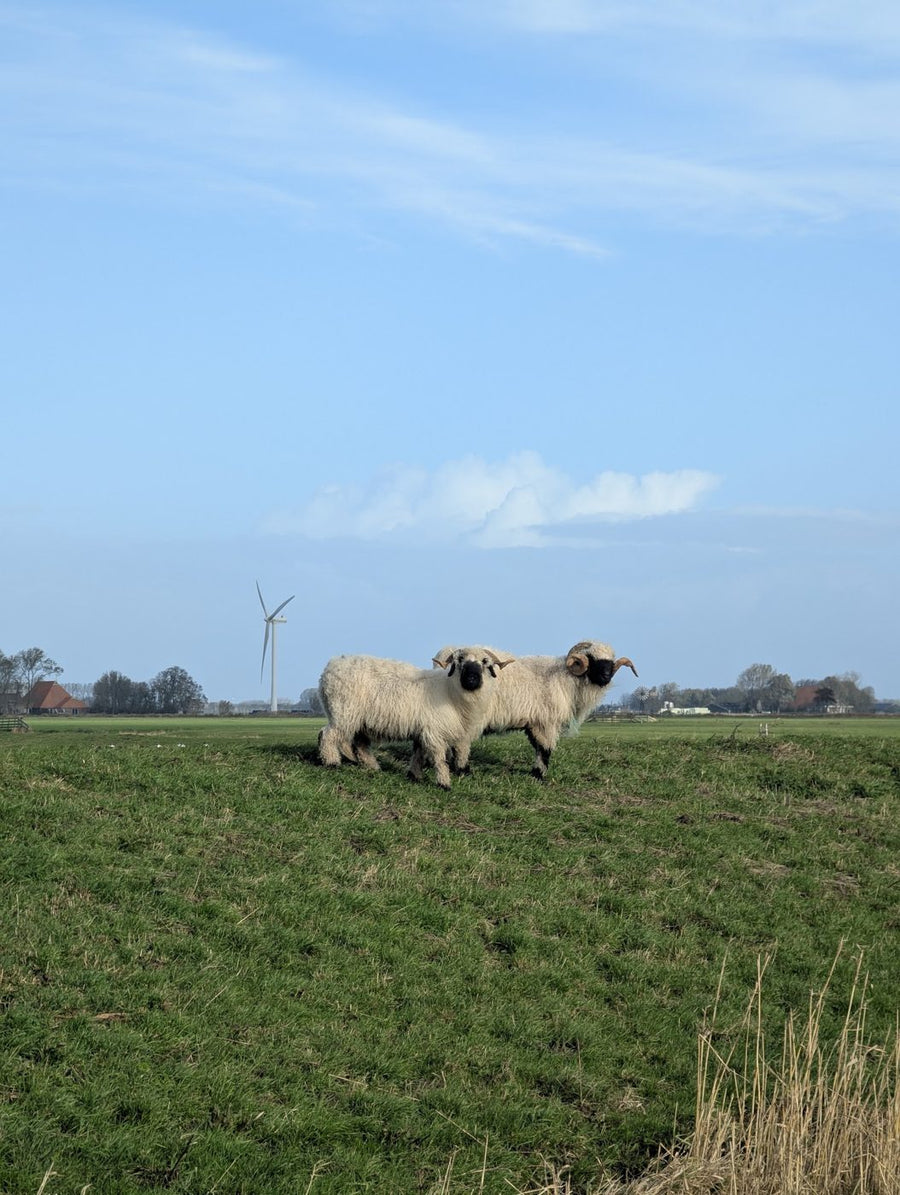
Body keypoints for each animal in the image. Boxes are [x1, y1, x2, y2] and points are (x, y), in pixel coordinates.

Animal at [317, 646, 514, 790]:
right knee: (327, 735)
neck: (451, 692)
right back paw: (332, 762)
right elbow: (439, 759)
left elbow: (419, 753)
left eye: (484, 662)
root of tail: (330, 668)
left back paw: (373, 767)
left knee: (360, 744)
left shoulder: (423, 730)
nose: (472, 679)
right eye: (460, 661)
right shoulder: (434, 731)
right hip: (343, 712)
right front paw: (444, 783)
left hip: (359, 720)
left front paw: (415, 776)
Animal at [429, 640, 638, 780]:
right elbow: (545, 749)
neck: (566, 679)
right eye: (591, 659)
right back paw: (463, 771)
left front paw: (536, 772)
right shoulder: (546, 722)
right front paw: (539, 775)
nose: (606, 676)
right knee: (461, 743)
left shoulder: (534, 723)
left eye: (610, 661)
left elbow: (538, 747)